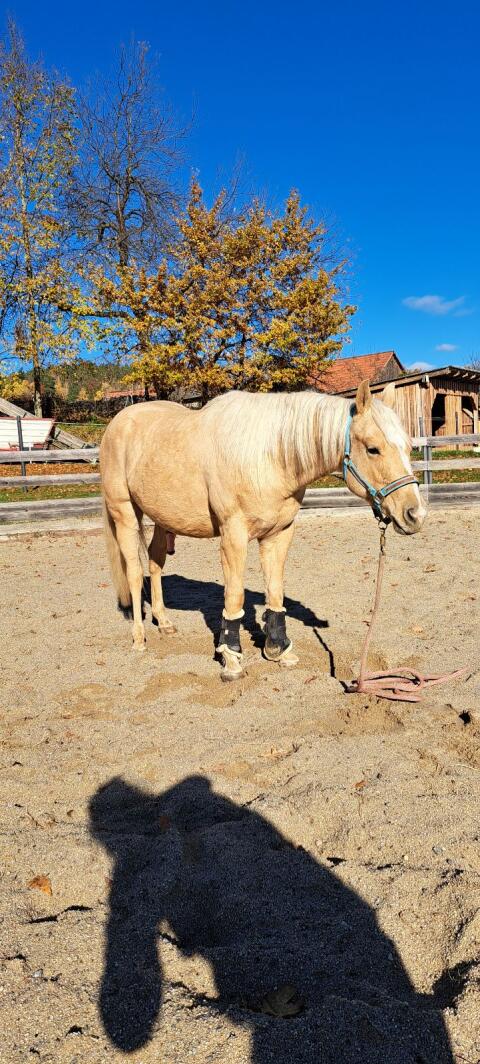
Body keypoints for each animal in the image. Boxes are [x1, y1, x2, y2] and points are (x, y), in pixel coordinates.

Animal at [99, 379, 426, 680]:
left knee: (155, 562)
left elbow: (275, 591)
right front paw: (231, 658)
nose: (415, 514)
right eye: (373, 449)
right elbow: (234, 596)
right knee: (133, 572)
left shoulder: (279, 534)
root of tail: (117, 423)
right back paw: (139, 638)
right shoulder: (234, 536)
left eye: (409, 447)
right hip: (125, 513)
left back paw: (164, 622)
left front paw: (279, 650)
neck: (267, 456)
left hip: (162, 518)